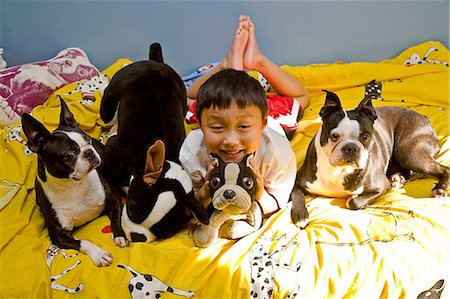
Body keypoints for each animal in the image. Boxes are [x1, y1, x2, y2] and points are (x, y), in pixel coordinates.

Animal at [21, 98, 126, 268]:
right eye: (69, 155)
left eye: (88, 140)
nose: (89, 152)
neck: (75, 186)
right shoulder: (58, 235)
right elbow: (83, 242)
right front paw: (99, 254)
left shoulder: (113, 199)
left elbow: (117, 219)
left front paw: (120, 236)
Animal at [290, 91, 448, 227]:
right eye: (334, 136)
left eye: (365, 137)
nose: (351, 148)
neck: (339, 171)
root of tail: (424, 117)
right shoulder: (297, 181)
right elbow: (296, 194)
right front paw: (301, 216)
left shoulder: (381, 186)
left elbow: (352, 202)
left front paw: (355, 200)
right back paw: (398, 179)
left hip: (408, 152)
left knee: (445, 168)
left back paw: (439, 189)